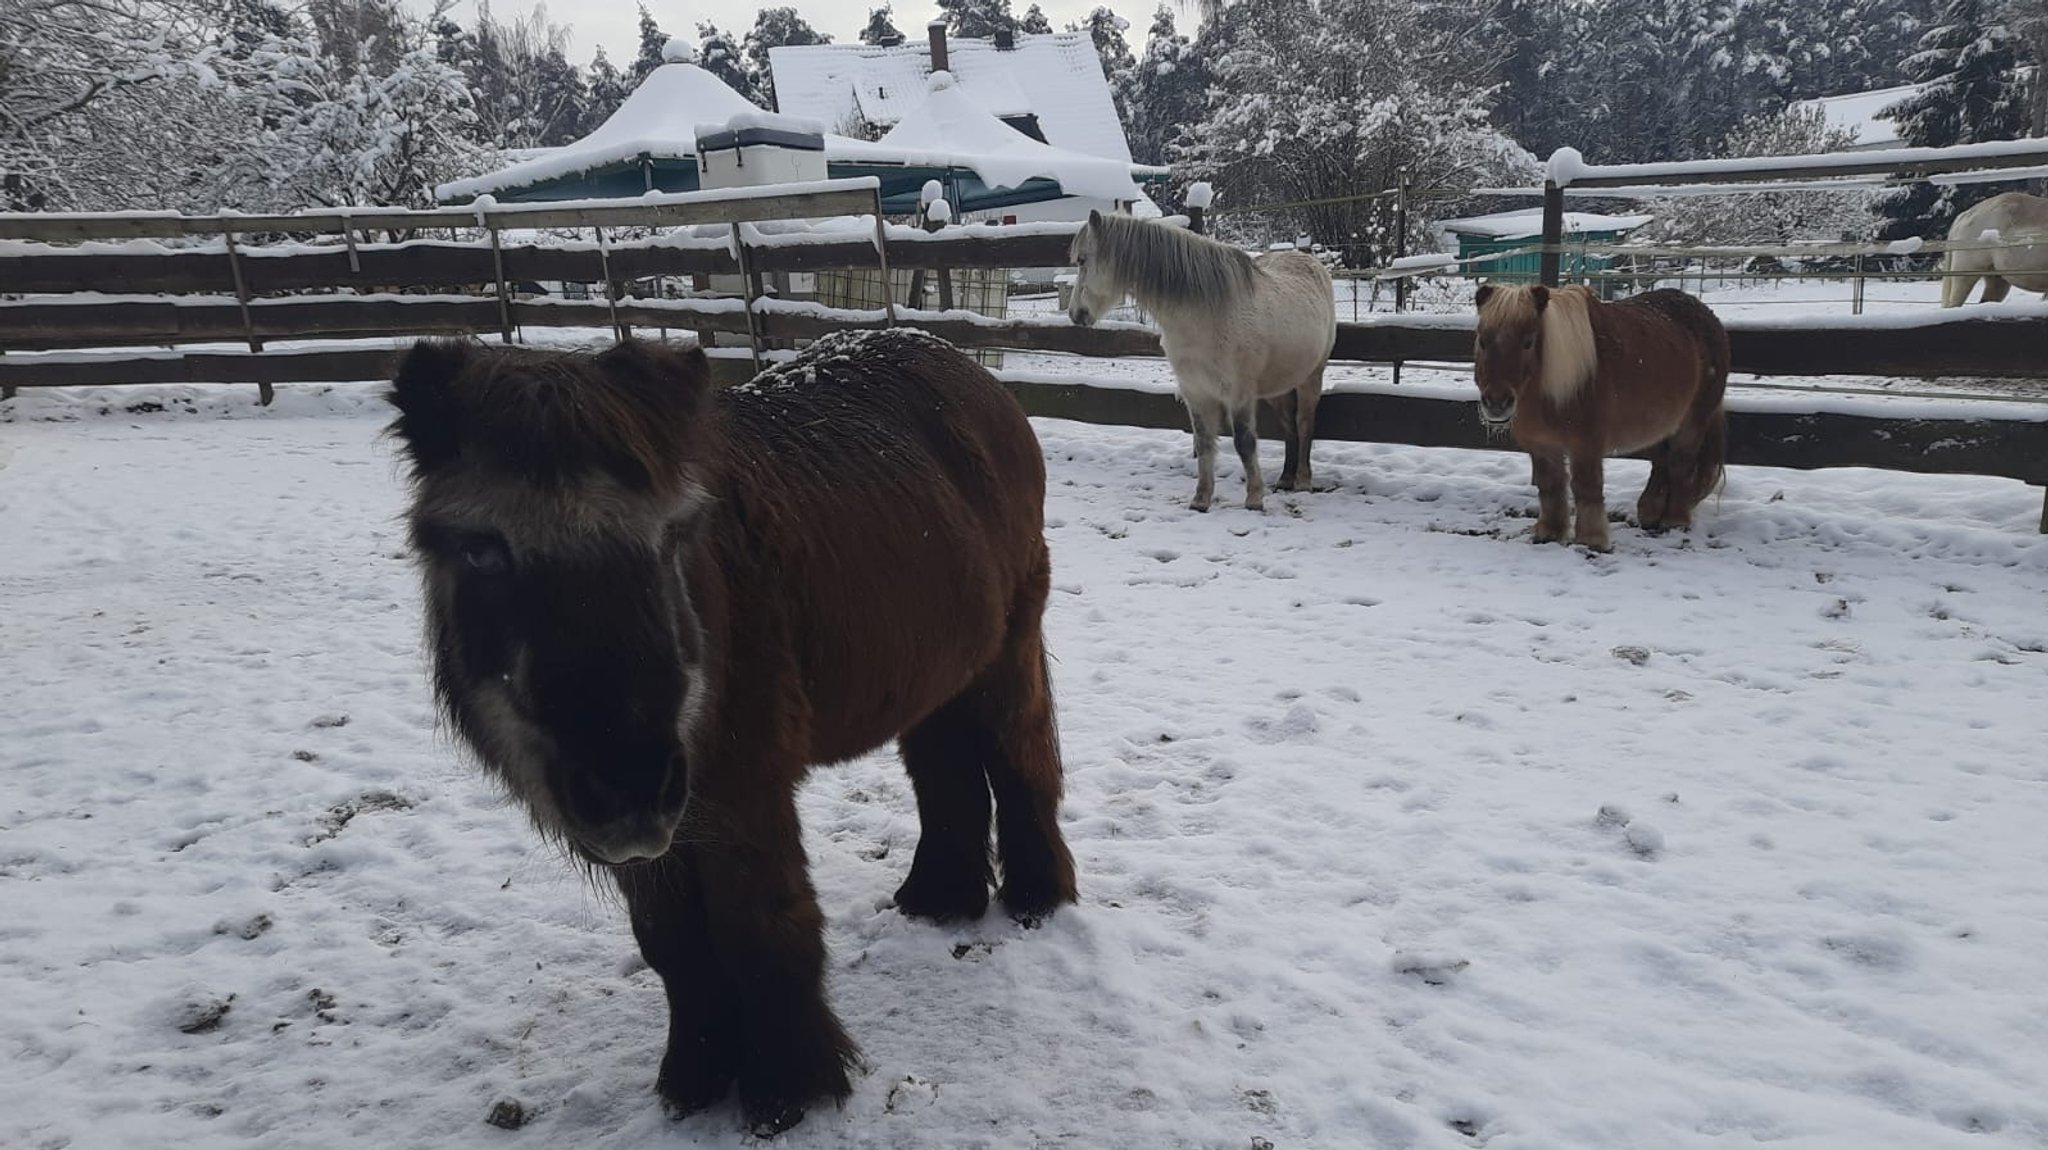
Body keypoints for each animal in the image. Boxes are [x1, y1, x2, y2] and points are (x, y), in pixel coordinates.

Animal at [1064, 206, 1335, 509]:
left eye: (1082, 260)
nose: (1076, 314)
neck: (1206, 315)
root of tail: (1311, 262)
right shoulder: (1196, 392)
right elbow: (1204, 443)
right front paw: (1201, 499)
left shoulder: (1239, 394)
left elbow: (1244, 442)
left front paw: (1254, 498)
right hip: (1278, 387)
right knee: (1289, 425)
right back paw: (1286, 479)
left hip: (1311, 378)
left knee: (1304, 424)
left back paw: (1303, 481)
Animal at [1474, 288, 1728, 552]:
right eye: (1482, 341)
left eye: (1528, 342)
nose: (1497, 402)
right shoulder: (1542, 445)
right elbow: (1550, 485)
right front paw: (1549, 533)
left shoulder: (1586, 444)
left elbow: (1586, 487)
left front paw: (1592, 539)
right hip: (1664, 423)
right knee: (1661, 462)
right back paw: (1649, 513)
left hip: (1693, 421)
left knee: (1680, 464)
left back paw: (1674, 520)